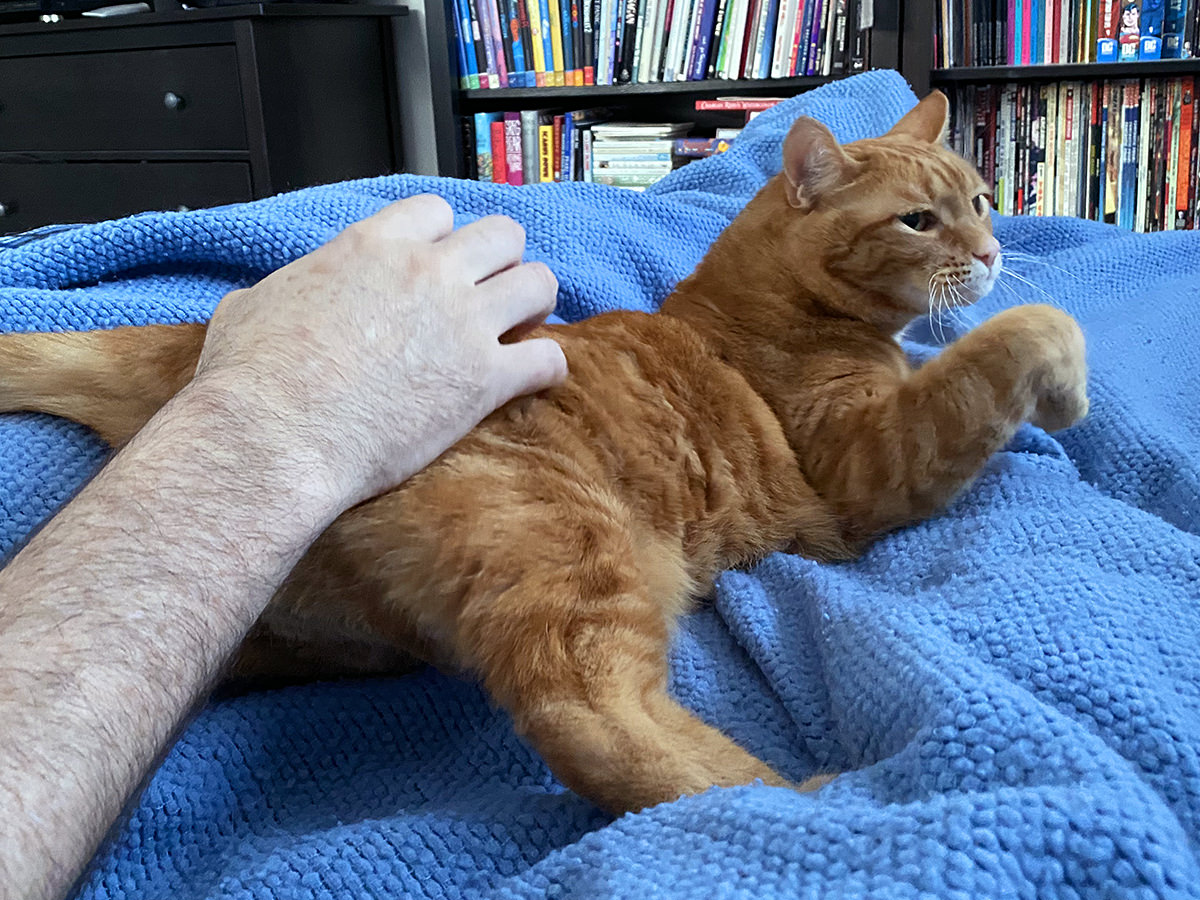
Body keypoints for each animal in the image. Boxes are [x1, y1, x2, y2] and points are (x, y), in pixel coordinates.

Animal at [0, 91, 1089, 816]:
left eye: (985, 200)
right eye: (919, 219)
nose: (993, 253)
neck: (760, 311)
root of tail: (186, 355)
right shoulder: (868, 463)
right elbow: (1020, 337)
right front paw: (1065, 385)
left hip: (296, 637)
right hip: (572, 555)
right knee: (591, 719)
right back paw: (789, 803)